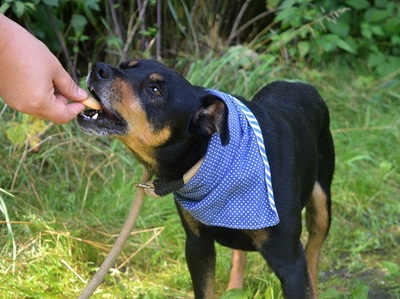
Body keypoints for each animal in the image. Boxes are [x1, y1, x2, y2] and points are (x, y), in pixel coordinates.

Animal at [77, 59, 334, 299]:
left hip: (322, 205)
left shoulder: (290, 261)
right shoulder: (197, 245)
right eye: (125, 65)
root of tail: (302, 85)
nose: (98, 68)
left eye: (155, 90)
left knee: (313, 252)